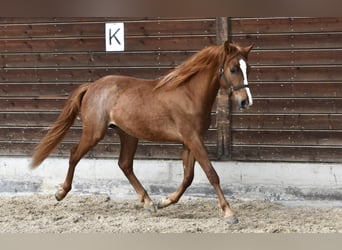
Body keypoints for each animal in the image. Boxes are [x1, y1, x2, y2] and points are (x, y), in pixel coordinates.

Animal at [30, 41, 252, 225]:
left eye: (247, 68)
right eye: (233, 69)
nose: (245, 101)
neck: (189, 94)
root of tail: (92, 86)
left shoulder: (189, 141)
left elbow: (188, 177)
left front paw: (165, 201)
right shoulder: (193, 138)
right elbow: (211, 174)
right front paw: (230, 214)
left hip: (128, 134)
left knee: (124, 164)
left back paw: (148, 203)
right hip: (94, 133)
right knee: (74, 154)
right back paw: (61, 192)